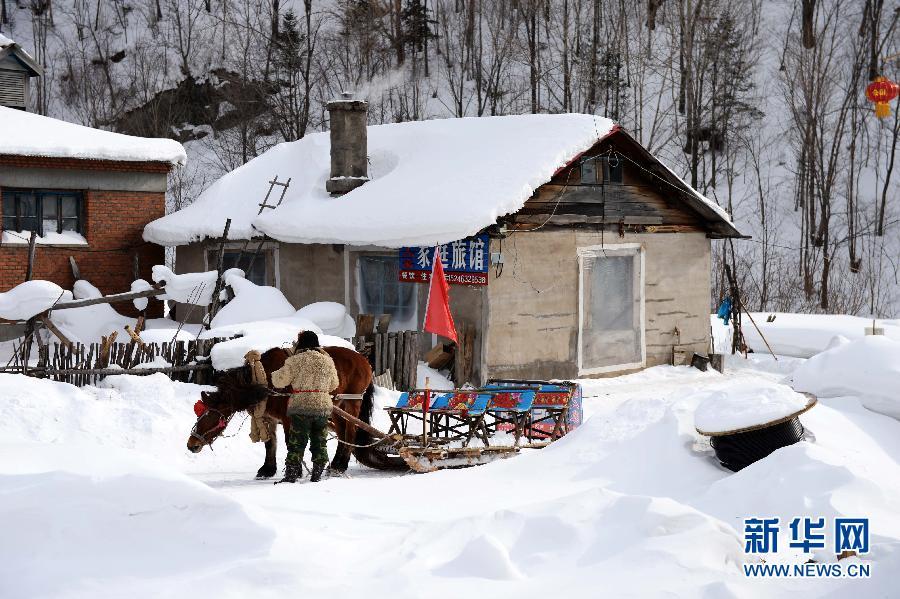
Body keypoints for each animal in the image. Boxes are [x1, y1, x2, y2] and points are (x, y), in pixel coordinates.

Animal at [188, 346, 406, 478]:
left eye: (210, 415)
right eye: (199, 414)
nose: (192, 445)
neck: (265, 381)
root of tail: (364, 359)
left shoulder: (288, 418)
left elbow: (289, 442)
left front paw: (295, 471)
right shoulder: (268, 418)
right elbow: (270, 445)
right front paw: (267, 469)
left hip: (352, 402)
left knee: (350, 432)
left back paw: (340, 465)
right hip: (337, 407)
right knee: (343, 433)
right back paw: (335, 464)